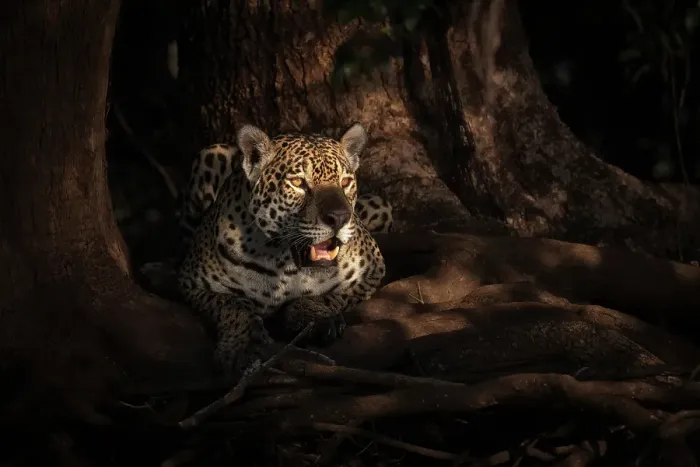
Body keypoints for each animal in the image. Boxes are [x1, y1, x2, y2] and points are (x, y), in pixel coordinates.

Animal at [176, 122, 393, 377]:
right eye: (298, 183)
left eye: (346, 182)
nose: (339, 218)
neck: (283, 264)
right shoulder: (191, 283)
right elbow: (233, 305)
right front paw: (242, 346)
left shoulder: (372, 269)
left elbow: (332, 296)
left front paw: (313, 316)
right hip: (210, 156)